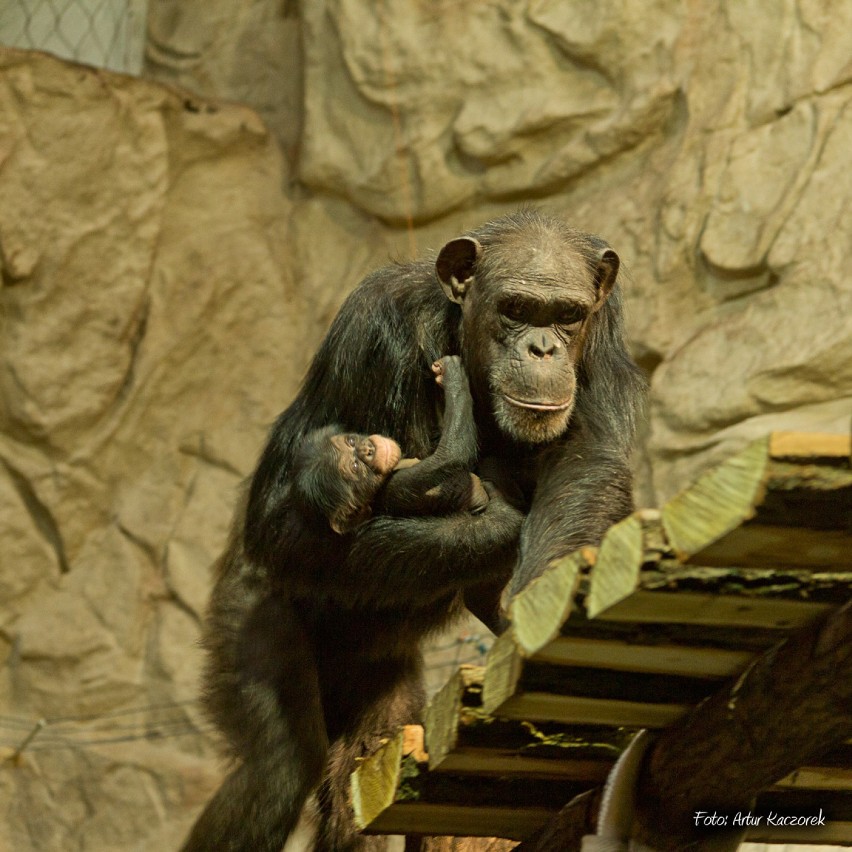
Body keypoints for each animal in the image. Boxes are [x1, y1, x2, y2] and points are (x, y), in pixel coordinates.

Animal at [183, 354, 524, 852]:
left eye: (353, 442)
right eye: (358, 464)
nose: (366, 446)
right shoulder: (401, 482)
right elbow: (444, 466)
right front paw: (455, 382)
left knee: (357, 770)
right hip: (250, 623)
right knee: (280, 768)